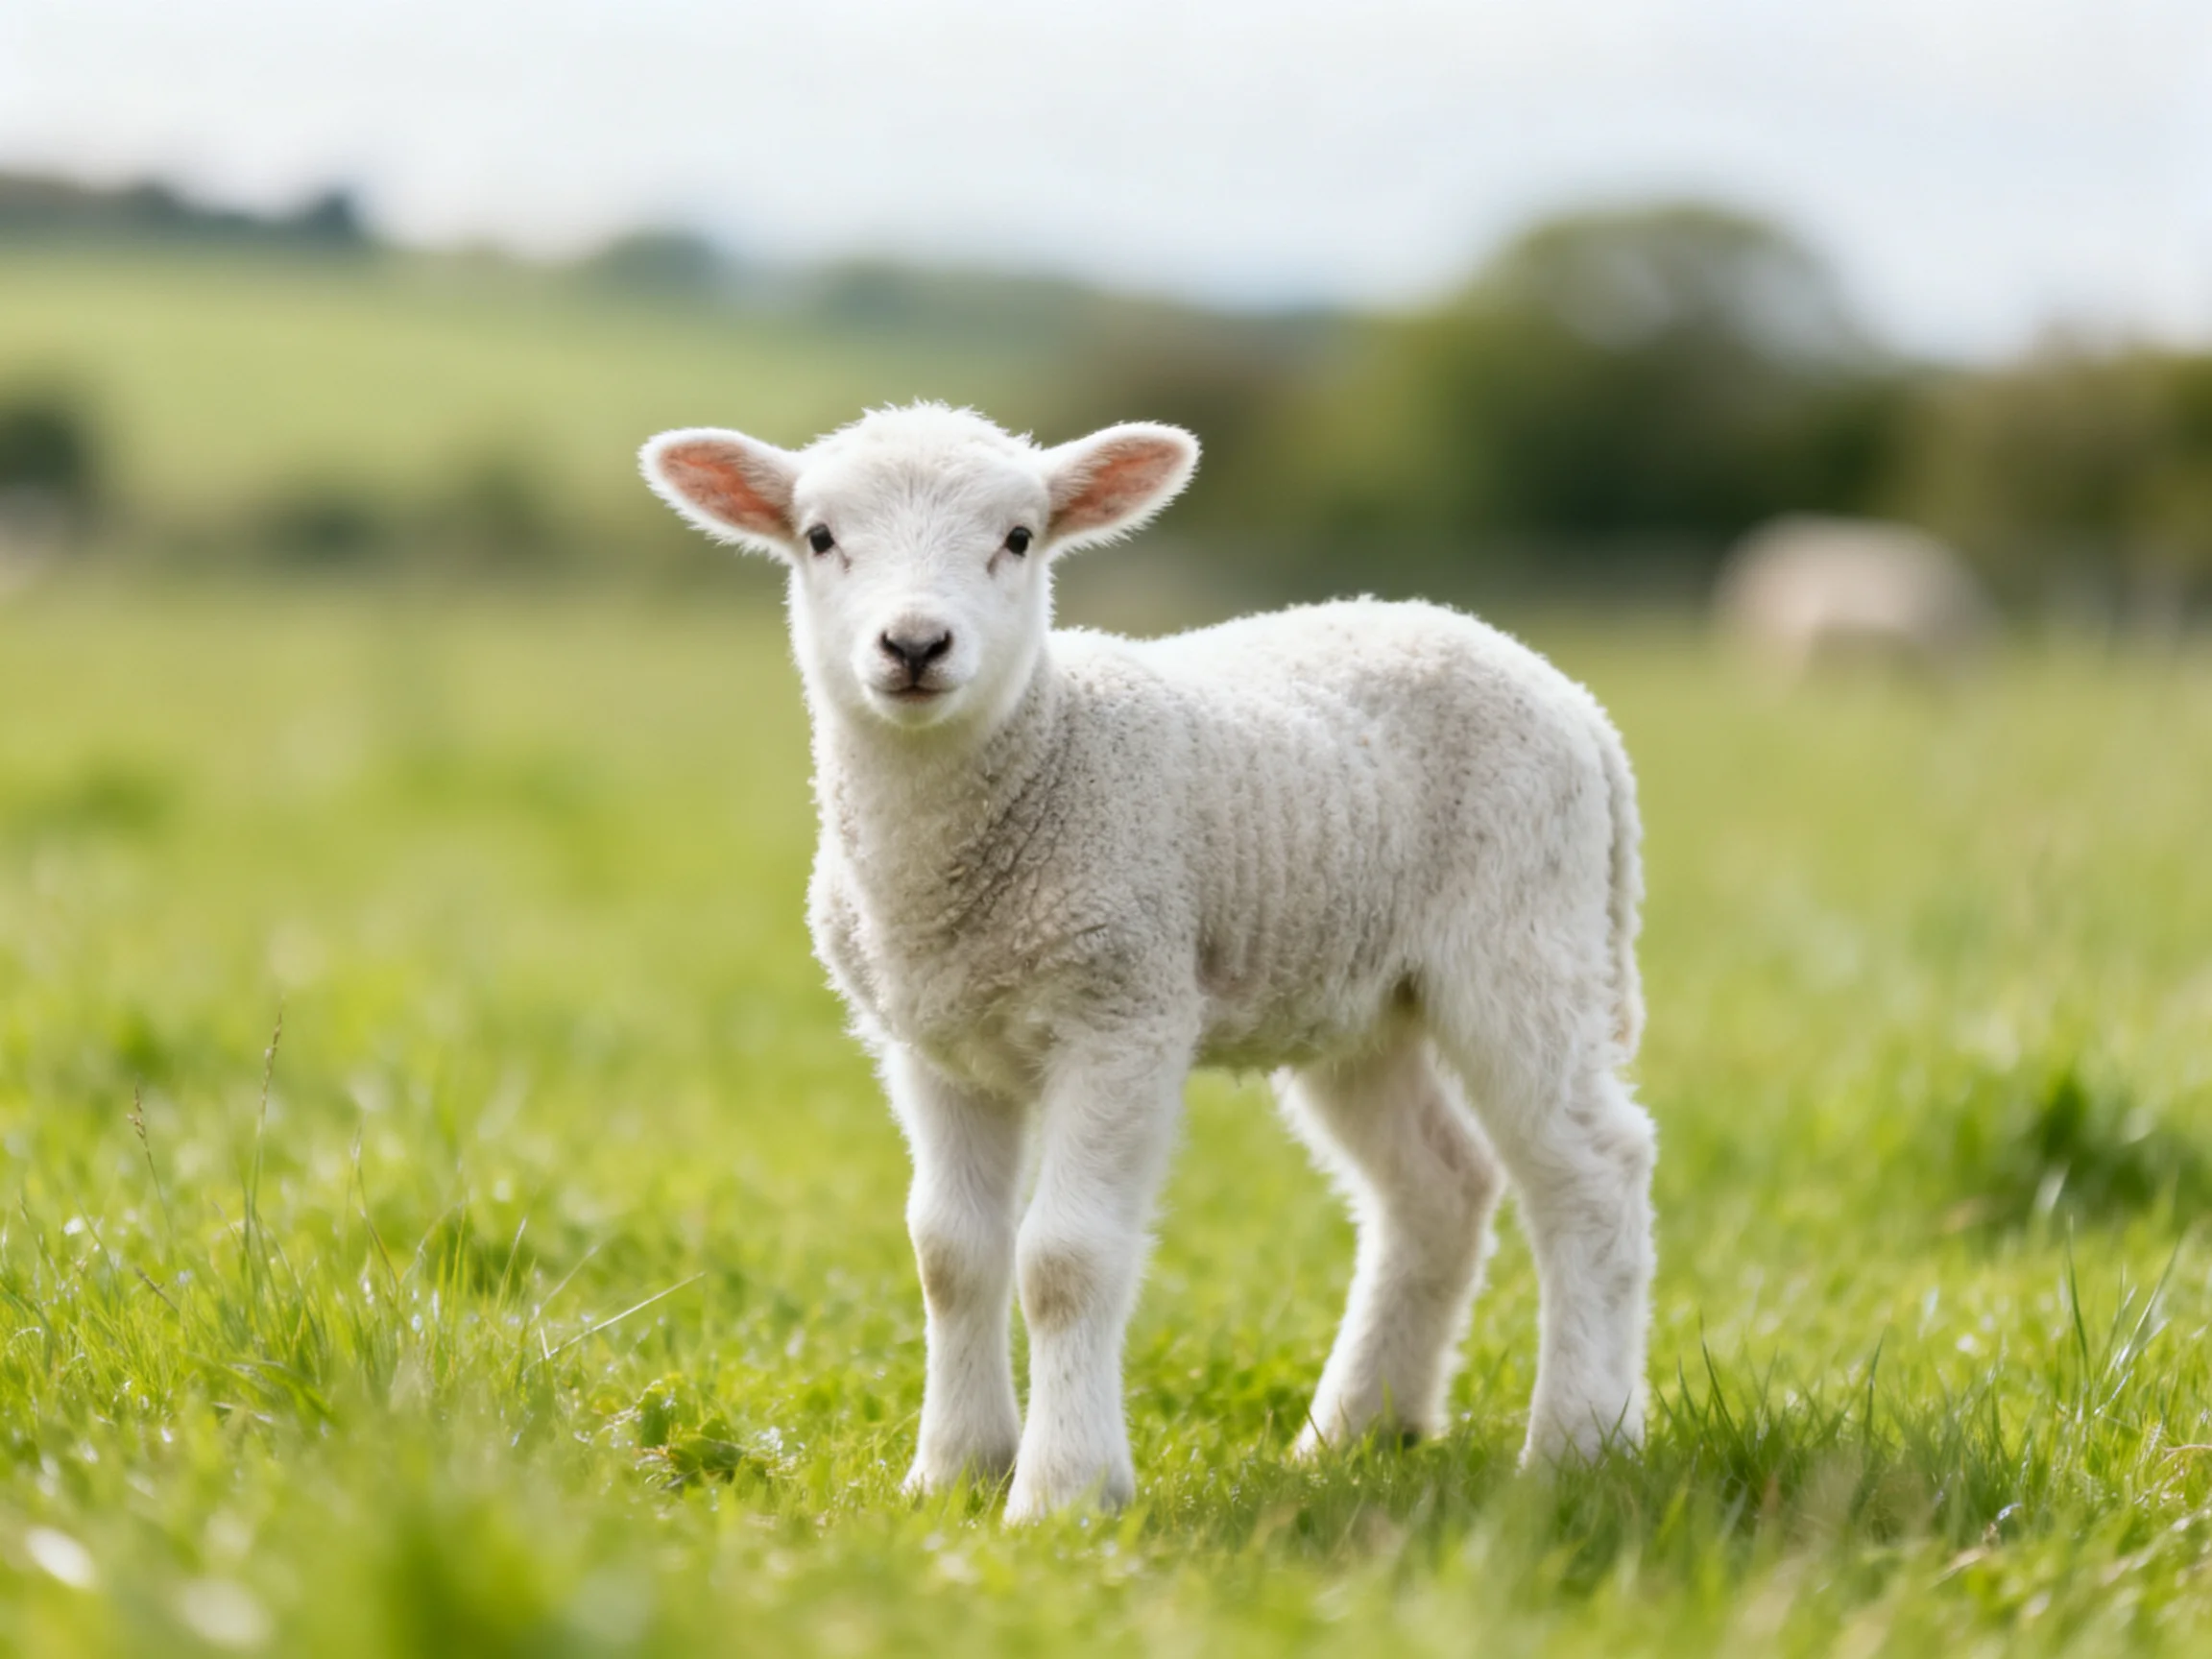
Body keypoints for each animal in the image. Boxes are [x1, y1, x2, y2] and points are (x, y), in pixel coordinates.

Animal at [640, 403, 1656, 1521]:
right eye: (819, 537)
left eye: (1019, 538)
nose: (914, 644)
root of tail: (1571, 698)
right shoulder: (931, 1041)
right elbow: (950, 1252)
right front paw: (952, 1471)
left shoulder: (1122, 1009)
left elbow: (1065, 1260)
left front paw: (1062, 1493)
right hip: (1359, 998)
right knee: (1438, 1187)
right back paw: (1355, 1432)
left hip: (1524, 936)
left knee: (1592, 1173)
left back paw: (1578, 1445)